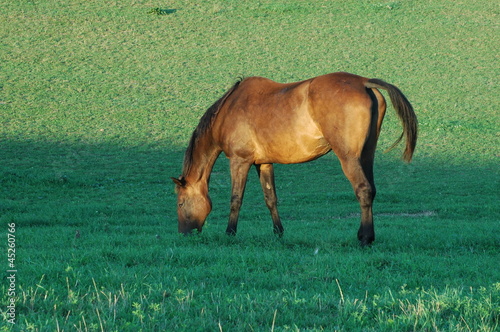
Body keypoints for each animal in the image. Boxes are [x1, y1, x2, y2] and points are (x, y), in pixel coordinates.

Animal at [173, 71, 418, 245]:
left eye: (181, 202)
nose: (184, 234)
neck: (228, 108)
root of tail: (364, 82)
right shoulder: (264, 163)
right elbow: (270, 199)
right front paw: (278, 233)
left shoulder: (239, 161)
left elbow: (236, 199)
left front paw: (230, 233)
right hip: (366, 156)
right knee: (371, 190)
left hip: (349, 158)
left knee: (363, 190)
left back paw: (365, 239)